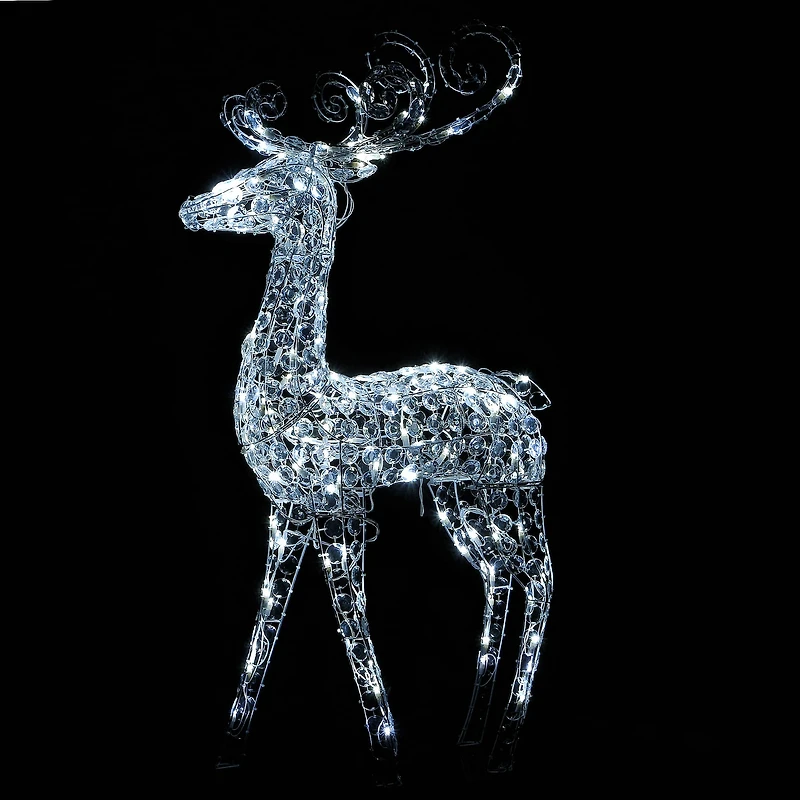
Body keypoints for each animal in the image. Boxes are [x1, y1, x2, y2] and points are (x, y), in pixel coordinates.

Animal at [179, 22, 553, 787]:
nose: (193, 207)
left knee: (543, 578)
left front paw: (387, 755)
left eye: (273, 179)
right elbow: (266, 620)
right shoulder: (287, 506)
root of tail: (522, 396)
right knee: (500, 575)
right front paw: (230, 746)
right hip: (461, 500)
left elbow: (351, 619)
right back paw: (471, 729)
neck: (297, 383)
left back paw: (504, 744)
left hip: (513, 492)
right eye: (255, 167)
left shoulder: (340, 504)